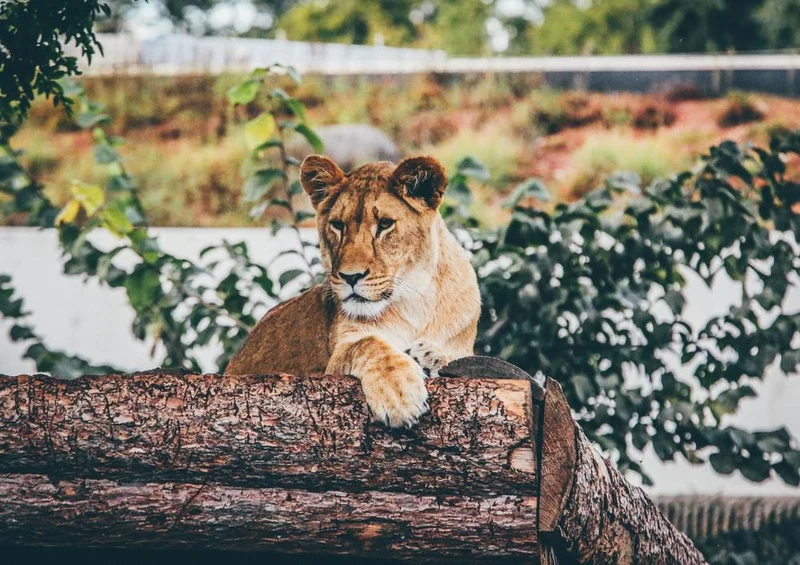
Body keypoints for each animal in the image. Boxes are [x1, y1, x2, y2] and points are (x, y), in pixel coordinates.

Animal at [225, 155, 481, 428]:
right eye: (338, 225)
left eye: (385, 224)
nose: (350, 276)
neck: (413, 298)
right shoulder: (335, 359)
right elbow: (369, 344)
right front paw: (399, 394)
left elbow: (461, 357)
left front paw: (431, 355)